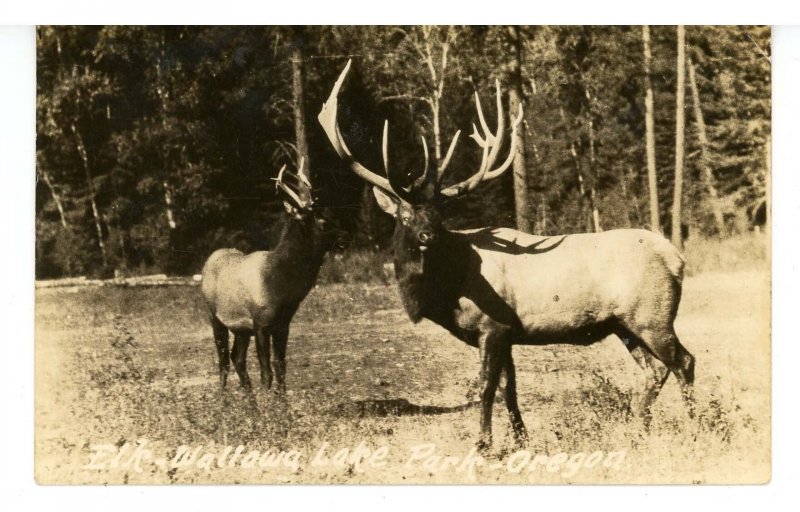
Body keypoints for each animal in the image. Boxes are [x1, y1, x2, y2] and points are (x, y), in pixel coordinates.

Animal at [203, 162, 338, 394]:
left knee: (237, 358)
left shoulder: (283, 324)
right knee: (223, 361)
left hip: (241, 329)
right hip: (215, 317)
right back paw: (224, 397)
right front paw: (269, 400)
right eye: (322, 220)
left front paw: (281, 400)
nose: (344, 238)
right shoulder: (261, 323)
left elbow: (280, 366)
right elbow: (266, 372)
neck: (284, 284)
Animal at [318, 62, 692, 450]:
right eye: (405, 216)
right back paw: (639, 427)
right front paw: (520, 439)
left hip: (651, 315)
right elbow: (507, 388)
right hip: (623, 324)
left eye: (440, 215)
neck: (447, 293)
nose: (427, 237)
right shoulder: (508, 333)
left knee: (684, 361)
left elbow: (486, 388)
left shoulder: (493, 327)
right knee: (656, 369)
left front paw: (483, 444)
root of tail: (676, 258)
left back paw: (697, 424)